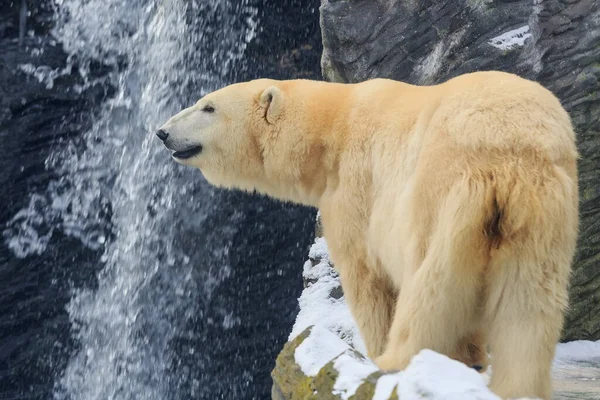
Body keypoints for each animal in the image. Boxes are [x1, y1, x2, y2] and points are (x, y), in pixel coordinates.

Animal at [157, 72, 580, 400]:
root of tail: (509, 146)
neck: (330, 130)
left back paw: (395, 362)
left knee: (430, 283)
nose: (162, 132)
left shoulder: (356, 188)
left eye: (208, 107)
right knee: (529, 302)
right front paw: (472, 358)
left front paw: (376, 352)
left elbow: (368, 280)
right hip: (541, 211)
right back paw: (518, 386)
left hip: (443, 187)